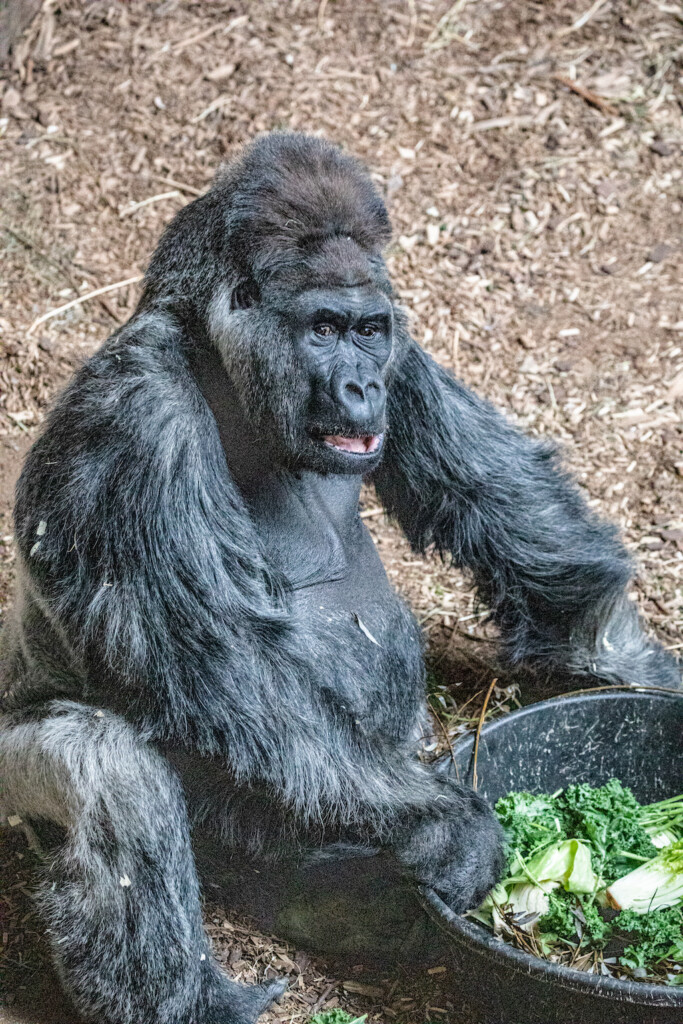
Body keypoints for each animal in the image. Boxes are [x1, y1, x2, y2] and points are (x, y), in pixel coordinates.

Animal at [0, 134, 679, 1024]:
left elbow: (498, 505)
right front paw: (450, 829)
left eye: (365, 330)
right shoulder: (135, 413)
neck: (217, 361)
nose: (357, 384)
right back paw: (199, 996)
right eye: (321, 328)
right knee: (105, 767)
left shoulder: (405, 357)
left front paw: (629, 664)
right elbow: (225, 661)